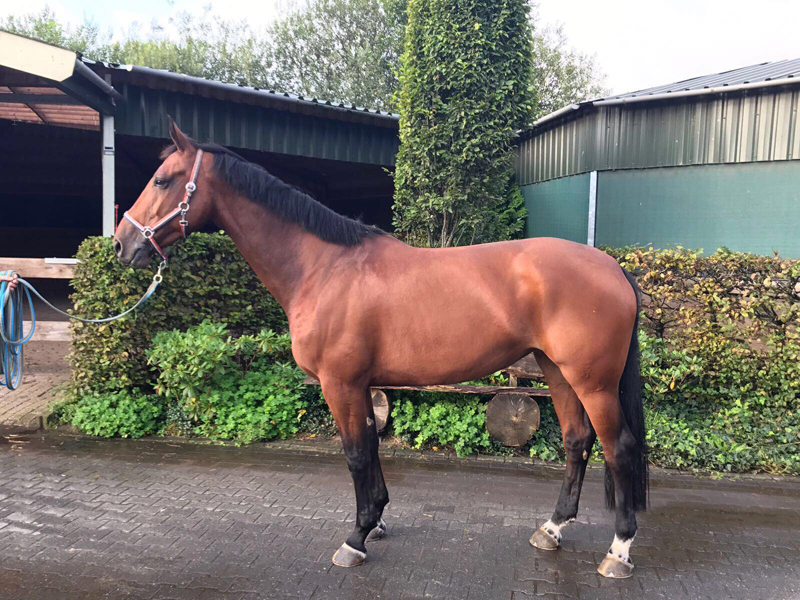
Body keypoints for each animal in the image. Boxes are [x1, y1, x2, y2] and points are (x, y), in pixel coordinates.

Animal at [114, 119, 648, 579]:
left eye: (162, 180)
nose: (121, 244)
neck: (323, 267)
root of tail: (612, 267)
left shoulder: (340, 383)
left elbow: (354, 453)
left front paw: (355, 539)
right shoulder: (363, 385)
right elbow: (370, 447)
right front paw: (377, 520)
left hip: (592, 382)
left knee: (618, 449)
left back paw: (619, 551)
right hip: (557, 371)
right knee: (576, 441)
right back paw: (552, 529)